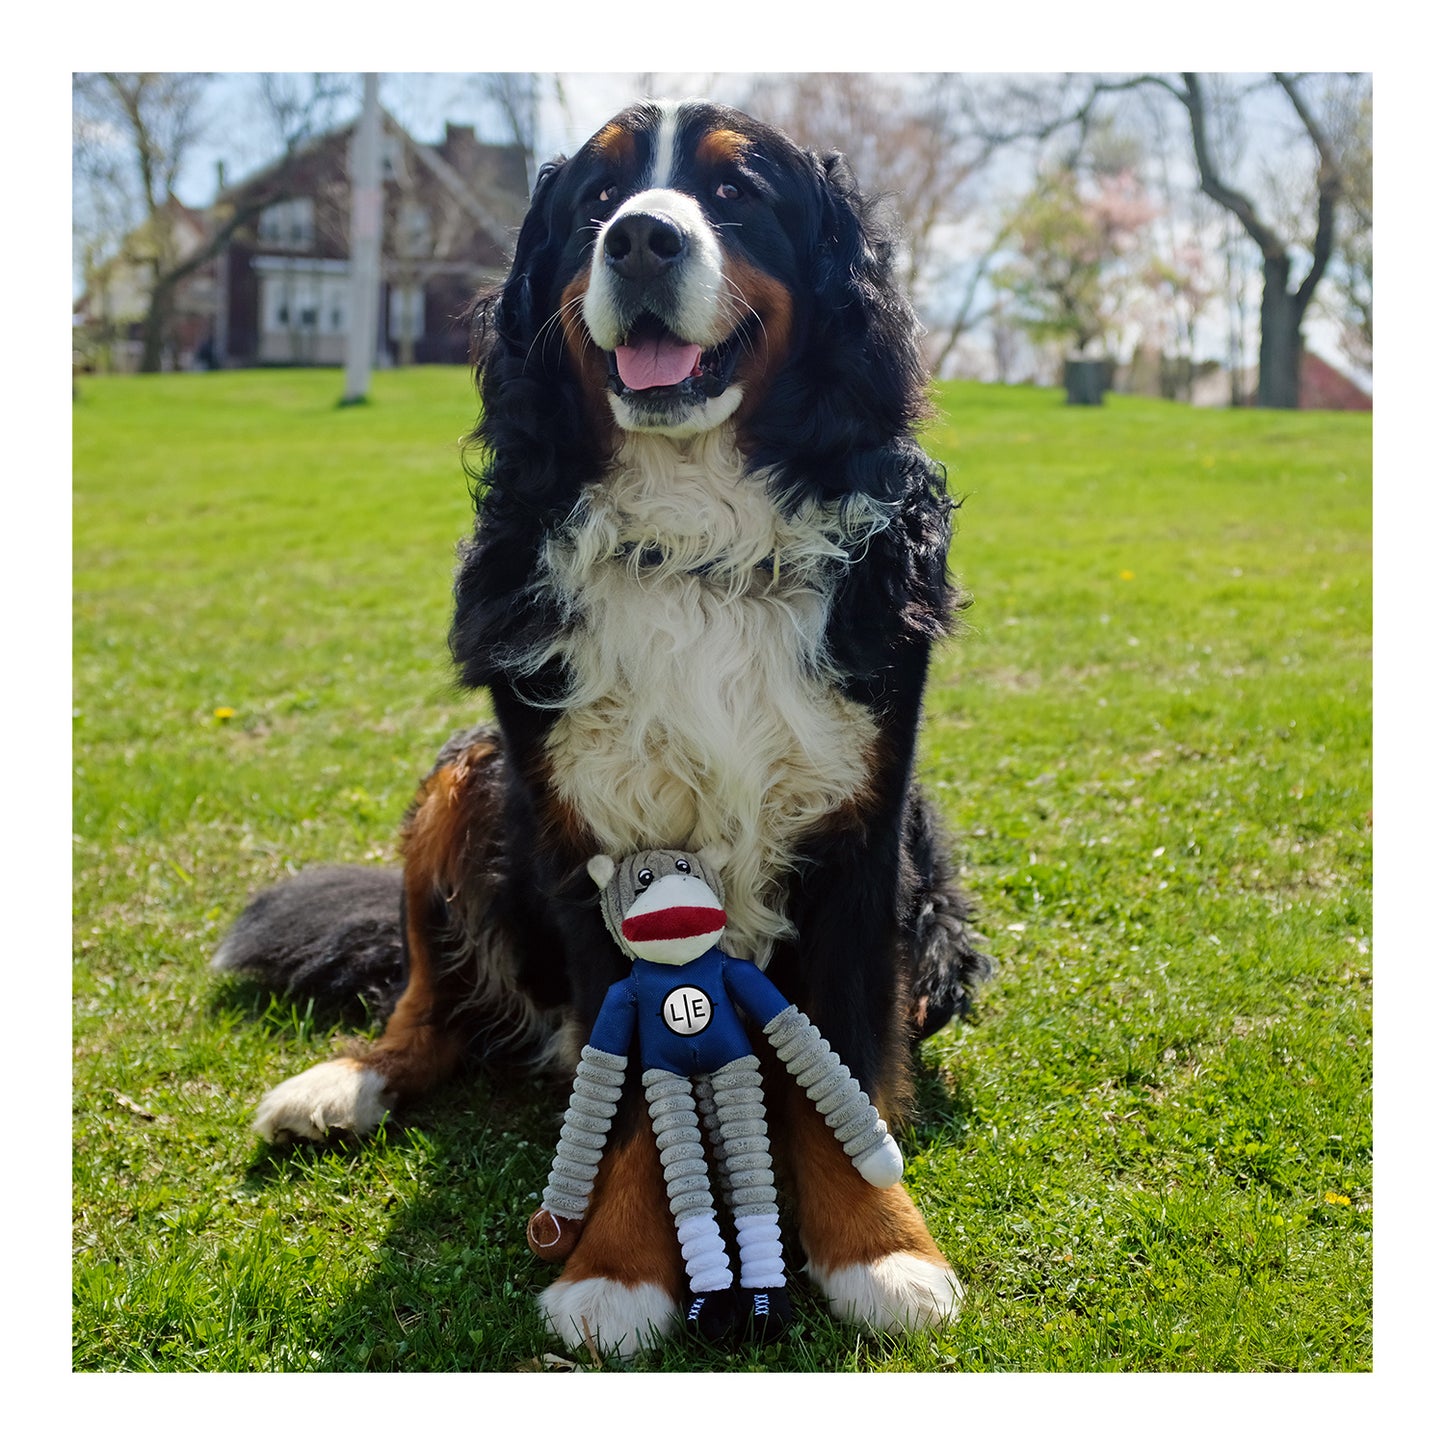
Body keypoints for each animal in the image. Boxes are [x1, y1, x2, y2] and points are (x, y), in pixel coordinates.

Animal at [216, 98, 994, 1352]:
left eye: (733, 195)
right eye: (595, 200)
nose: (638, 238)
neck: (697, 544)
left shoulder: (864, 823)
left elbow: (840, 1049)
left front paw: (881, 1250)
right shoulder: (581, 835)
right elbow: (620, 1066)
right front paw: (618, 1267)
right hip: (468, 777)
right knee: (430, 1005)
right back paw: (341, 1083)